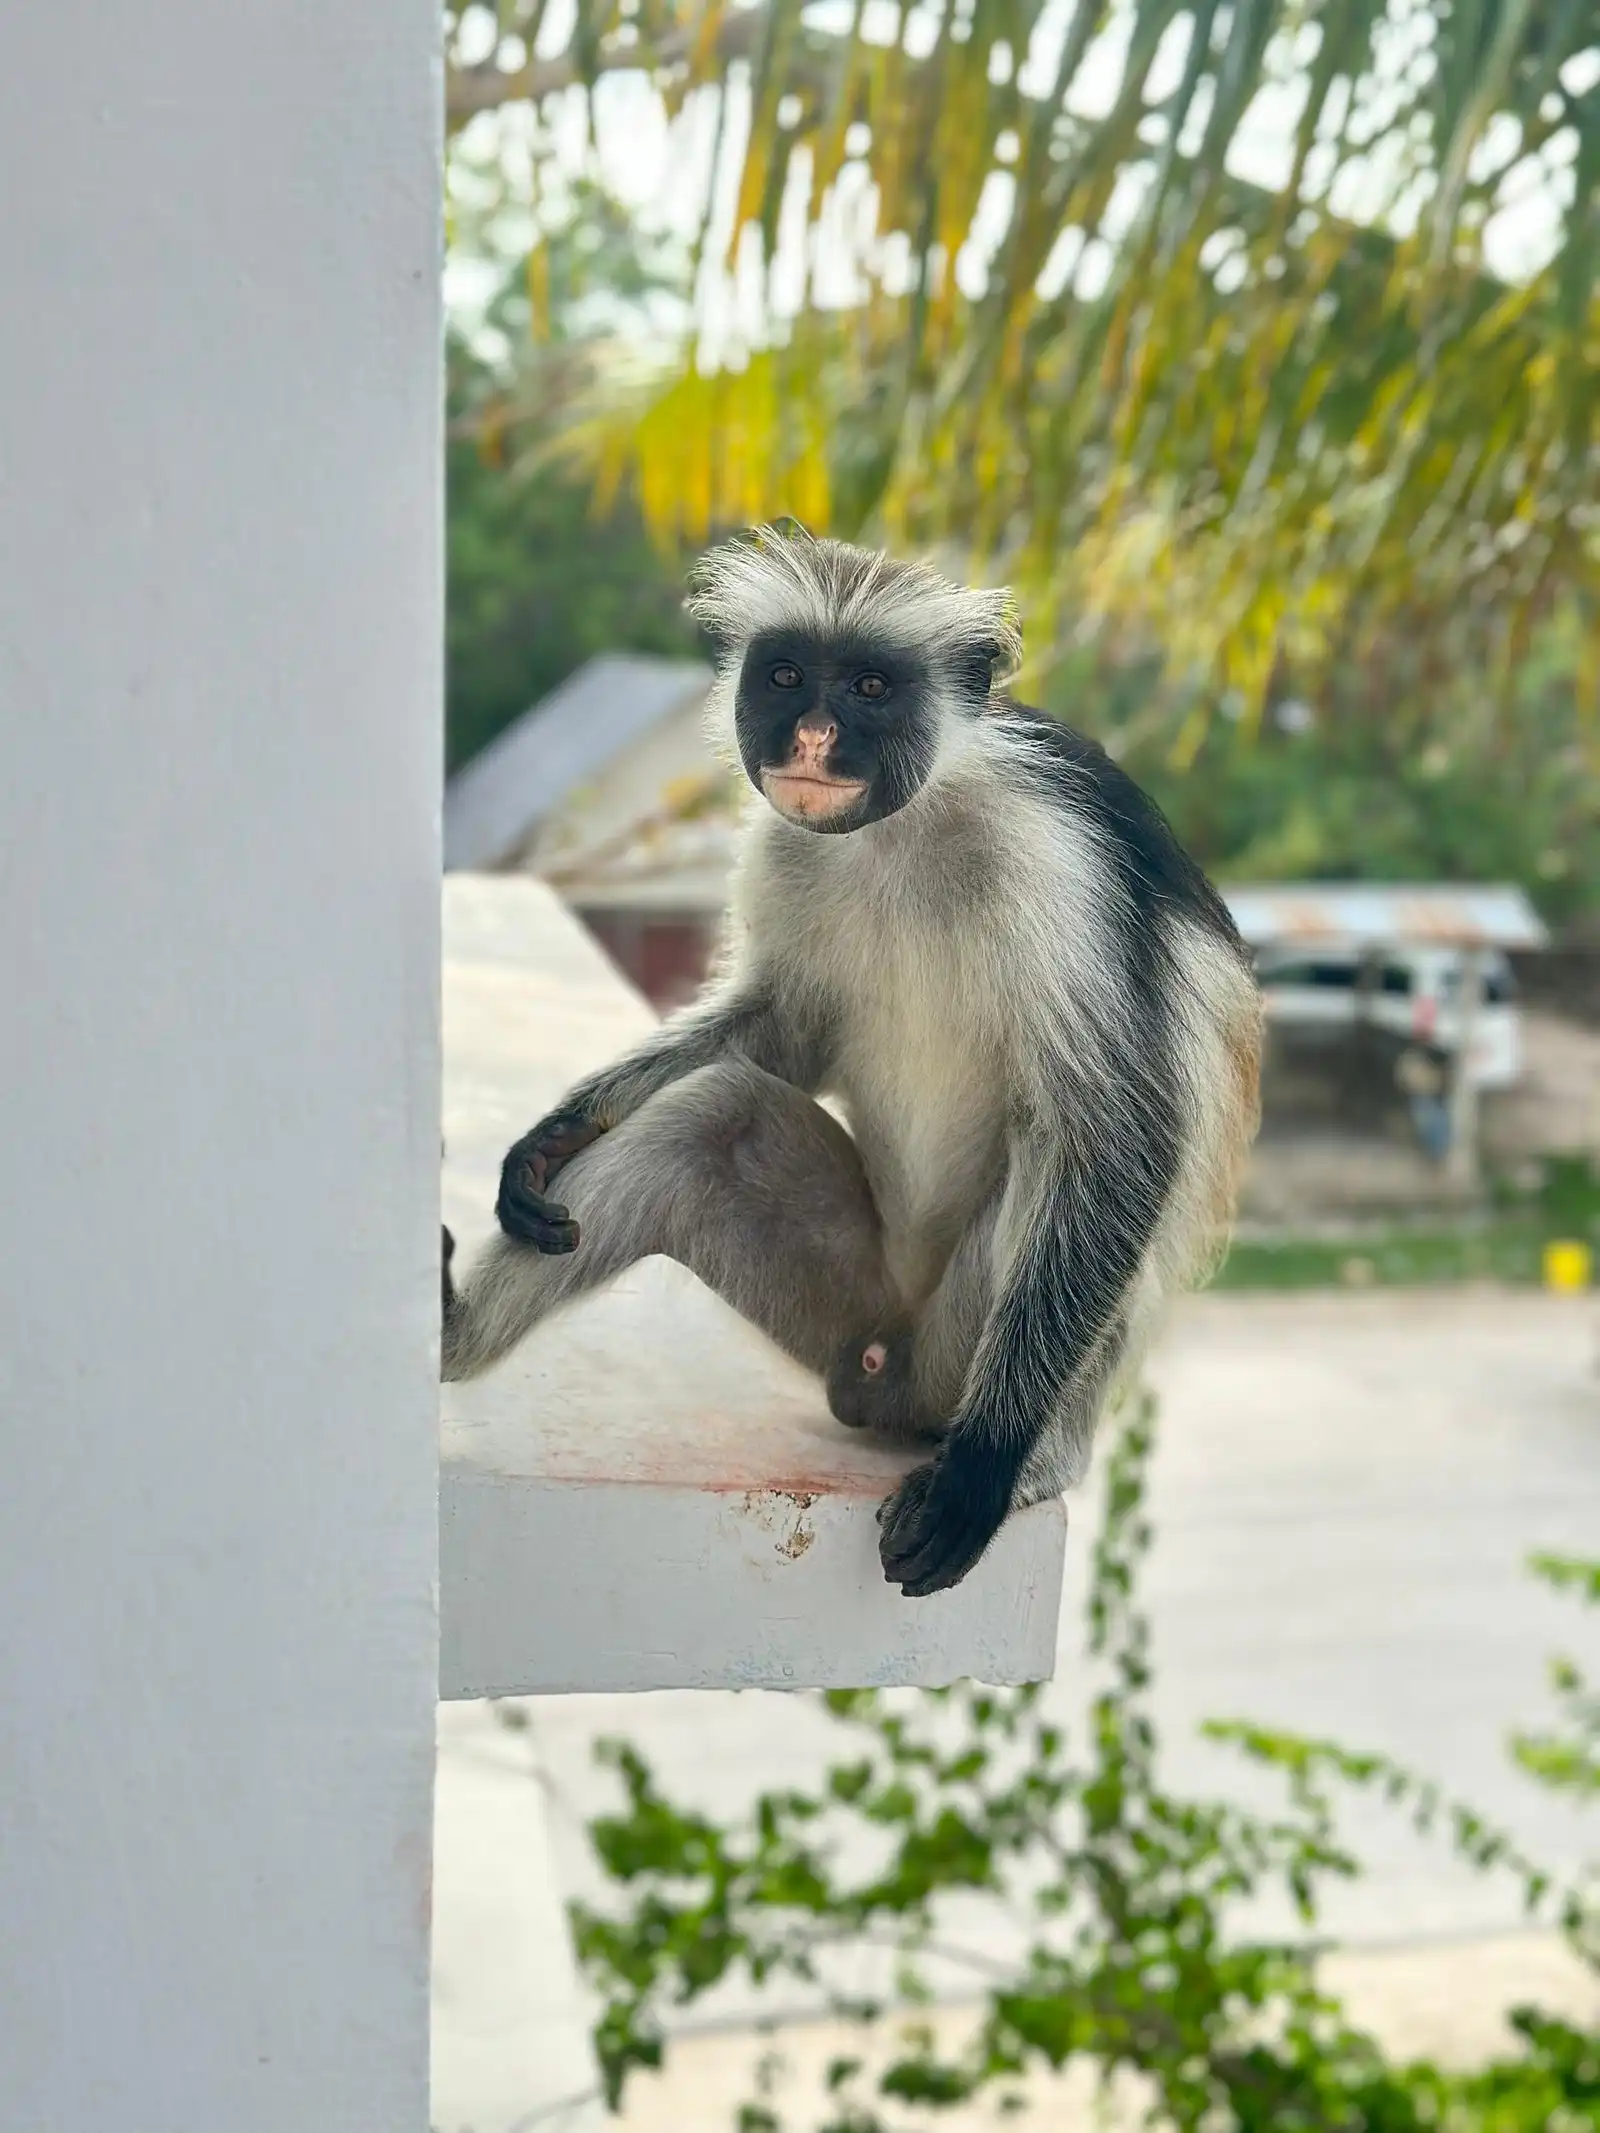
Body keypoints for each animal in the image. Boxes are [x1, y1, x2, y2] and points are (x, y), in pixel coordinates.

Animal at [442, 524, 1261, 1597]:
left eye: (872, 687)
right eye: (787, 676)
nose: (812, 739)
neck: (902, 826)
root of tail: (883, 1368)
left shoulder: (1057, 858)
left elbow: (1118, 1137)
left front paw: (981, 1473)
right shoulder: (788, 843)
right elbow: (784, 1032)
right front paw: (555, 1132)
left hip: (962, 1347)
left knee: (1062, 1154)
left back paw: (1027, 1453)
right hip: (846, 1301)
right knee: (718, 1114)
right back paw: (450, 1336)